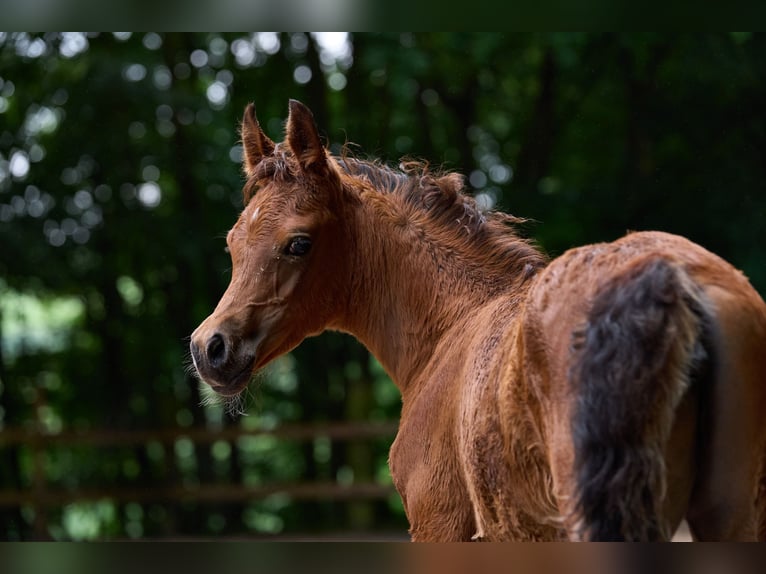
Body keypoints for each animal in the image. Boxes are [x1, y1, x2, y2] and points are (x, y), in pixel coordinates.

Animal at [190, 100, 766, 544]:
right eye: (233, 242)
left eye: (299, 243)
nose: (209, 348)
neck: (450, 325)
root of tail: (676, 277)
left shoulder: (438, 524)